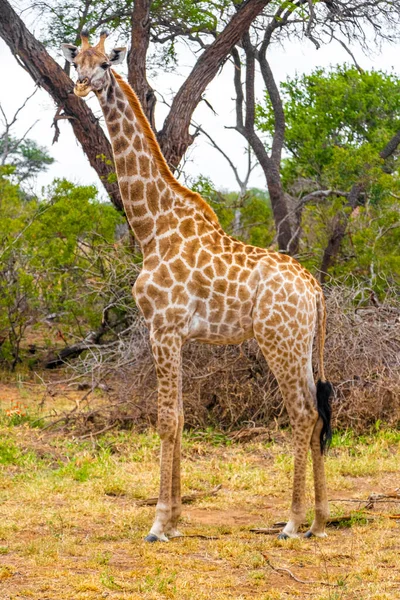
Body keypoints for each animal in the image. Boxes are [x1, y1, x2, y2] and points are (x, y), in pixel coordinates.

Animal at [61, 31, 332, 544]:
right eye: (75, 62)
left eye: (105, 62)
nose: (81, 87)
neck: (152, 226)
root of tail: (315, 289)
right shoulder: (179, 335)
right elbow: (183, 417)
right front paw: (177, 520)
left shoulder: (162, 328)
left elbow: (167, 420)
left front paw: (158, 523)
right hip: (303, 344)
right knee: (319, 410)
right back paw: (321, 520)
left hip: (278, 341)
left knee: (303, 414)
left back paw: (291, 521)